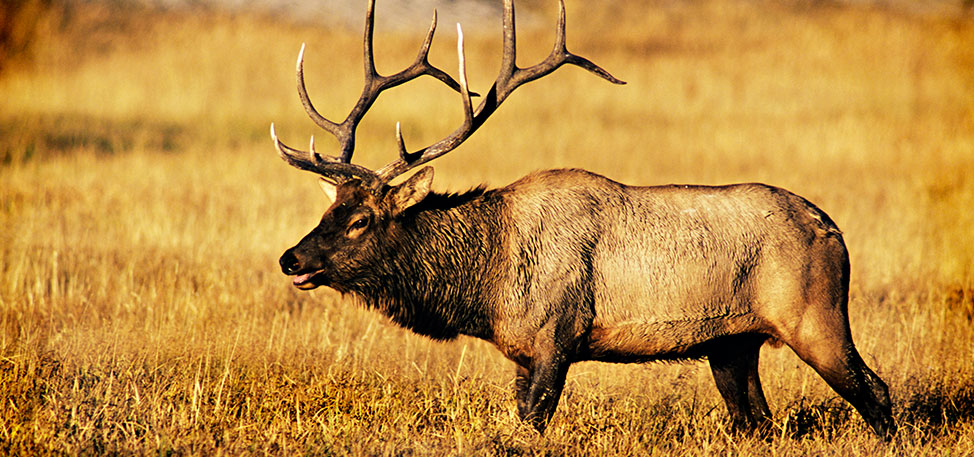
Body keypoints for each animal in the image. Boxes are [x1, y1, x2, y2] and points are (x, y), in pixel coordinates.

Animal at [270, 0, 896, 438]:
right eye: (328, 207)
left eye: (361, 220)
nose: (290, 258)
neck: (486, 285)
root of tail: (834, 229)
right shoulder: (523, 352)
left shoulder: (557, 335)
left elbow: (533, 425)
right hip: (732, 343)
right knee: (757, 422)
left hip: (815, 316)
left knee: (878, 393)